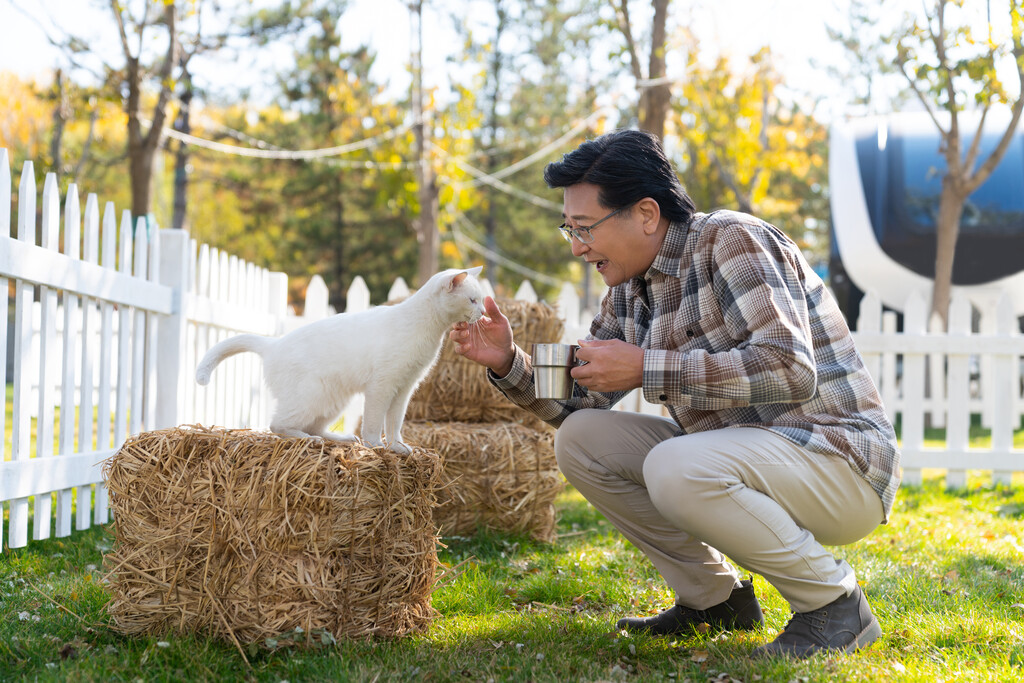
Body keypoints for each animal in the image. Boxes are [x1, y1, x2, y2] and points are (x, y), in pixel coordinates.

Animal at [200, 266, 491, 454]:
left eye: (480, 300)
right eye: (472, 300)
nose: (484, 312)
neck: (426, 329)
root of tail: (273, 344)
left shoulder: (405, 388)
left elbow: (394, 423)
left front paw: (398, 447)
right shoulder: (382, 386)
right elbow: (374, 422)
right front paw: (376, 447)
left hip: (333, 400)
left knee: (316, 426)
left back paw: (343, 439)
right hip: (311, 396)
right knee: (278, 425)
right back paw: (309, 440)